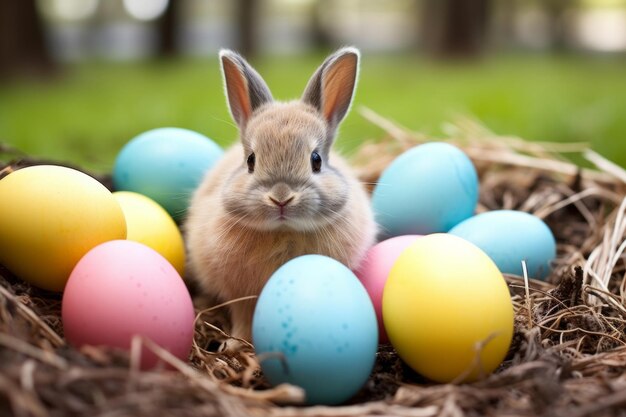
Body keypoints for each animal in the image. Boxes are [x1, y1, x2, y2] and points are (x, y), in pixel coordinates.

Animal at [182, 46, 376, 342]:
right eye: (251, 160)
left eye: (316, 160)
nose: (281, 198)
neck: (284, 232)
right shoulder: (241, 295)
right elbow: (243, 317)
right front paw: (237, 343)